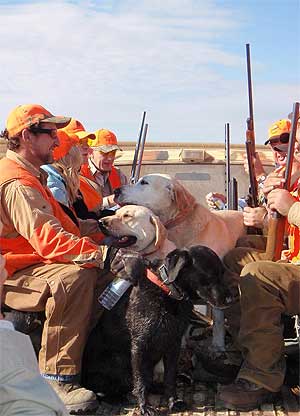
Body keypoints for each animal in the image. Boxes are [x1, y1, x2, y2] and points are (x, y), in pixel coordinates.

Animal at [81, 245, 236, 414]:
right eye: (210, 275)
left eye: (222, 273)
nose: (231, 300)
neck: (167, 292)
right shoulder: (140, 346)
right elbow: (140, 380)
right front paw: (144, 406)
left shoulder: (173, 344)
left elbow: (169, 377)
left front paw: (173, 401)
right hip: (116, 360)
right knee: (104, 389)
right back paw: (116, 398)